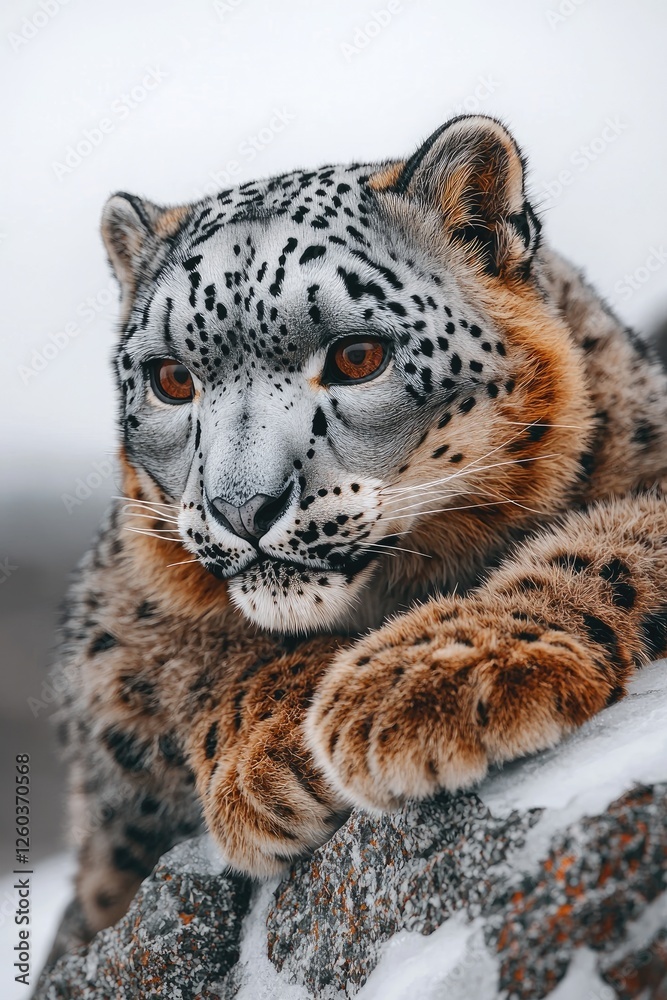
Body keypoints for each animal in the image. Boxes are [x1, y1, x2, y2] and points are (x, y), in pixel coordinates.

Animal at [46, 114, 667, 963]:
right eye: (172, 378)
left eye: (357, 357)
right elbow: (176, 651)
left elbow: (613, 541)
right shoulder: (109, 630)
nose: (243, 507)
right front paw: (275, 754)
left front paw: (426, 680)